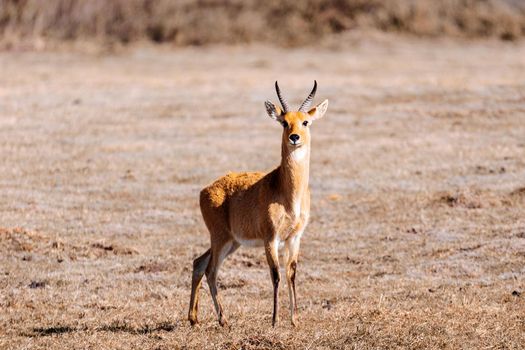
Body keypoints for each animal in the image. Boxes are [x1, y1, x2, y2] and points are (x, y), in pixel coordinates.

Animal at [188, 80, 328, 326]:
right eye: (284, 122)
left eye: (305, 121)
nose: (294, 137)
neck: (287, 193)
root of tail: (206, 189)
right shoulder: (270, 238)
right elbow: (275, 275)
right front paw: (274, 321)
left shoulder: (295, 238)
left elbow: (291, 273)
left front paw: (294, 320)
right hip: (221, 238)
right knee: (211, 271)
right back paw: (223, 320)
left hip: (232, 240)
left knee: (199, 263)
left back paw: (194, 319)